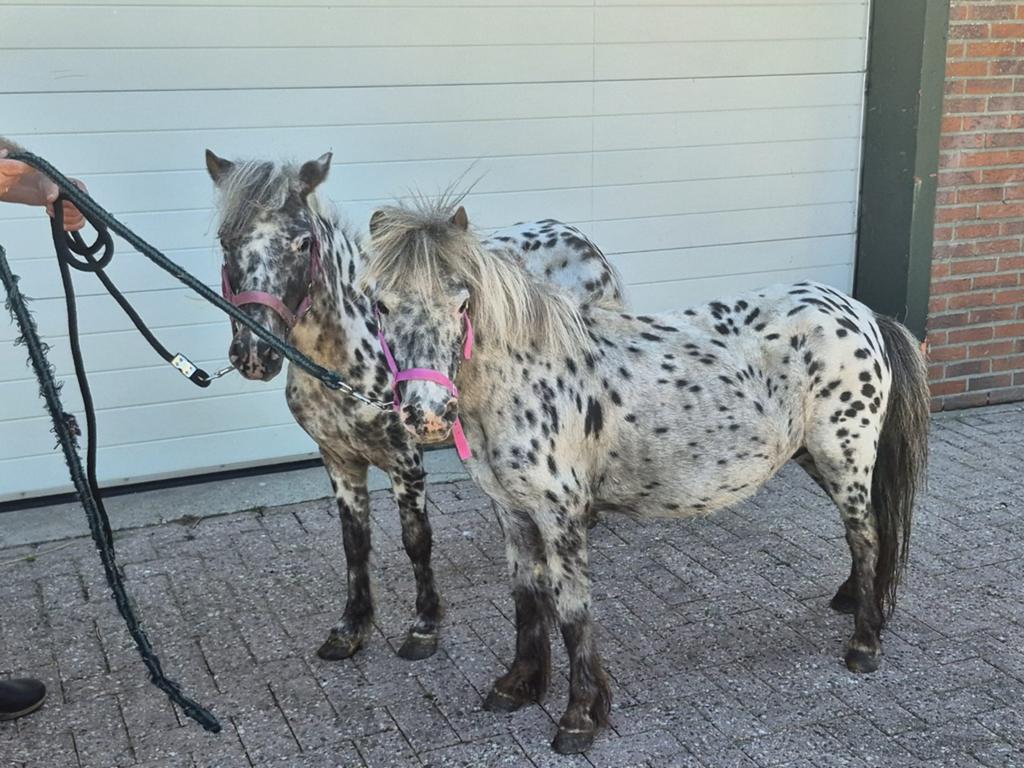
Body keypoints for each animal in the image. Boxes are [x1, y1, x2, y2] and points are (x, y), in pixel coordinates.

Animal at [205, 151, 625, 663]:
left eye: (302, 241)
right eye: (227, 240)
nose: (254, 352)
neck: (346, 354)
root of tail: (573, 234)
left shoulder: (405, 459)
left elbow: (416, 540)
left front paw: (424, 626)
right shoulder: (338, 459)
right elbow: (354, 542)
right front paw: (351, 627)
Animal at [361, 197, 930, 754]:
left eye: (462, 303)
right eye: (380, 305)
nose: (427, 414)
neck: (525, 378)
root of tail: (861, 314)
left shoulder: (561, 515)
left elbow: (571, 607)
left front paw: (580, 717)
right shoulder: (514, 512)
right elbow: (527, 598)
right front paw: (518, 686)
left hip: (844, 455)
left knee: (866, 535)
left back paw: (865, 642)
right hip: (815, 455)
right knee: (865, 534)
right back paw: (853, 601)